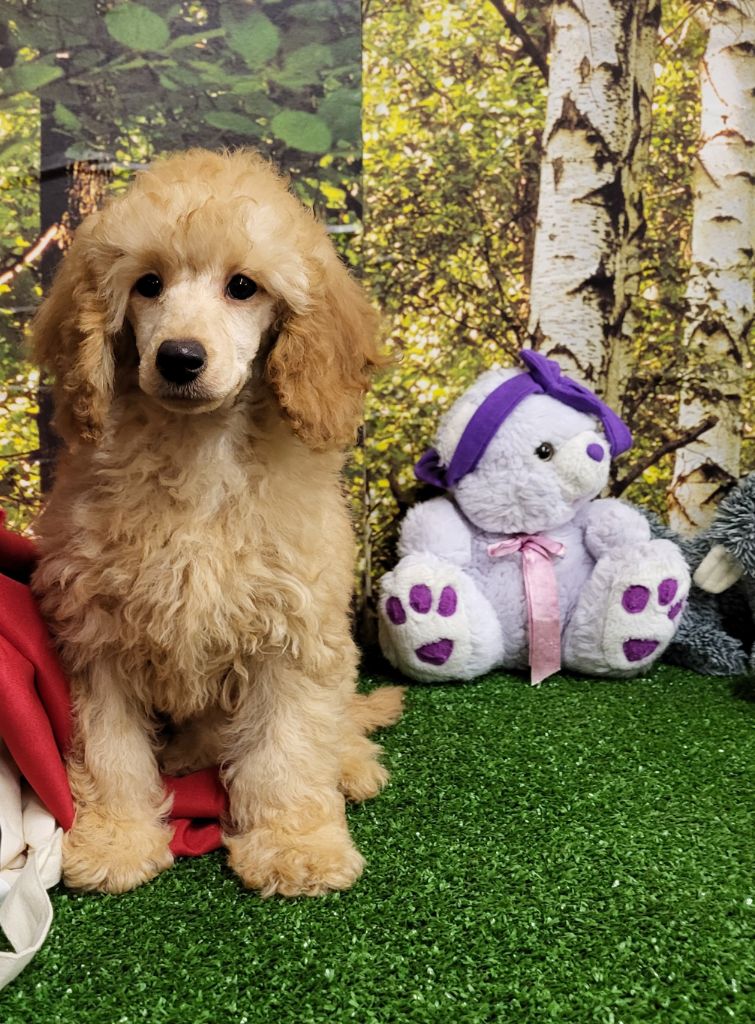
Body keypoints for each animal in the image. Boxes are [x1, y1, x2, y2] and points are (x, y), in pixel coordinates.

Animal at [30, 148, 404, 897]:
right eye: (148, 284)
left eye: (242, 287)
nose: (179, 357)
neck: (198, 451)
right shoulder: (94, 632)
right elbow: (109, 748)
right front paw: (116, 839)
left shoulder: (295, 628)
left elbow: (290, 745)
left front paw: (295, 845)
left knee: (336, 721)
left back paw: (350, 763)